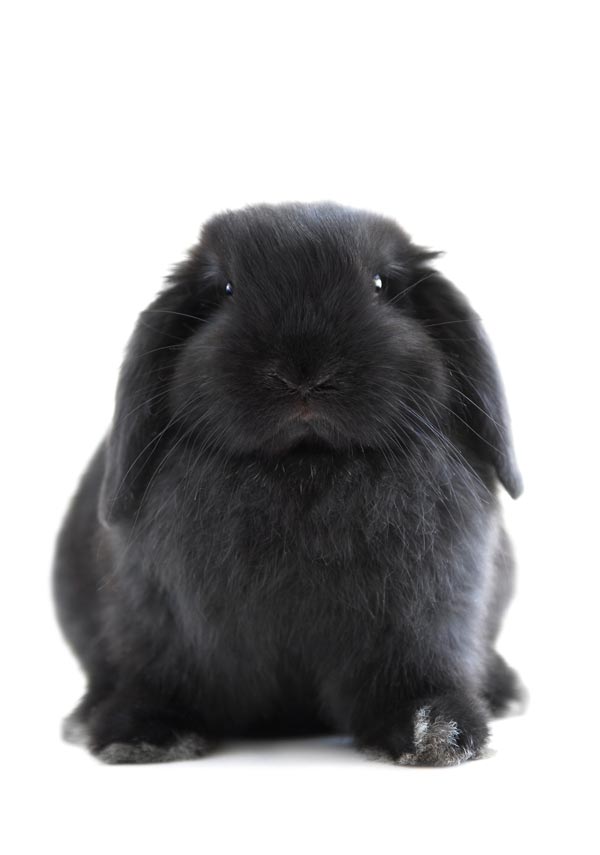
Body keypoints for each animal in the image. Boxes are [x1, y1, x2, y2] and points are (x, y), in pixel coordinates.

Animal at [53, 202, 524, 765]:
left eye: (381, 284)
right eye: (225, 289)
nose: (304, 373)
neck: (304, 468)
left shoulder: (425, 619)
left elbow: (416, 672)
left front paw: (436, 731)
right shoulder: (159, 619)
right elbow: (158, 671)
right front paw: (144, 733)